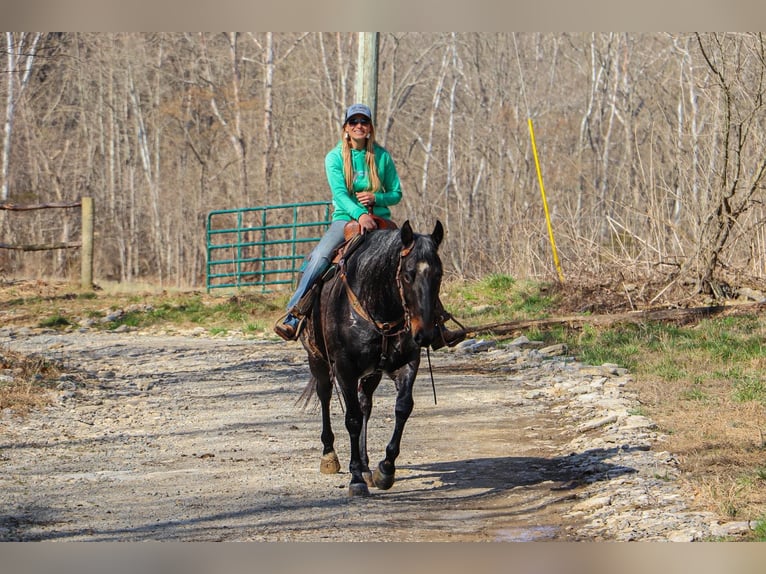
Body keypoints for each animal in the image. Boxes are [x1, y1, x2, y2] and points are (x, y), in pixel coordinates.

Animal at [300, 220, 444, 500]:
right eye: (408, 274)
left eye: (439, 274)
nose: (424, 334)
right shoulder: (344, 369)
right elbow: (352, 419)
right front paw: (356, 478)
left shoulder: (407, 363)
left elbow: (403, 408)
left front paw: (384, 470)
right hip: (318, 361)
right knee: (325, 396)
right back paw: (329, 456)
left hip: (372, 374)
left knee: (365, 403)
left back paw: (367, 466)